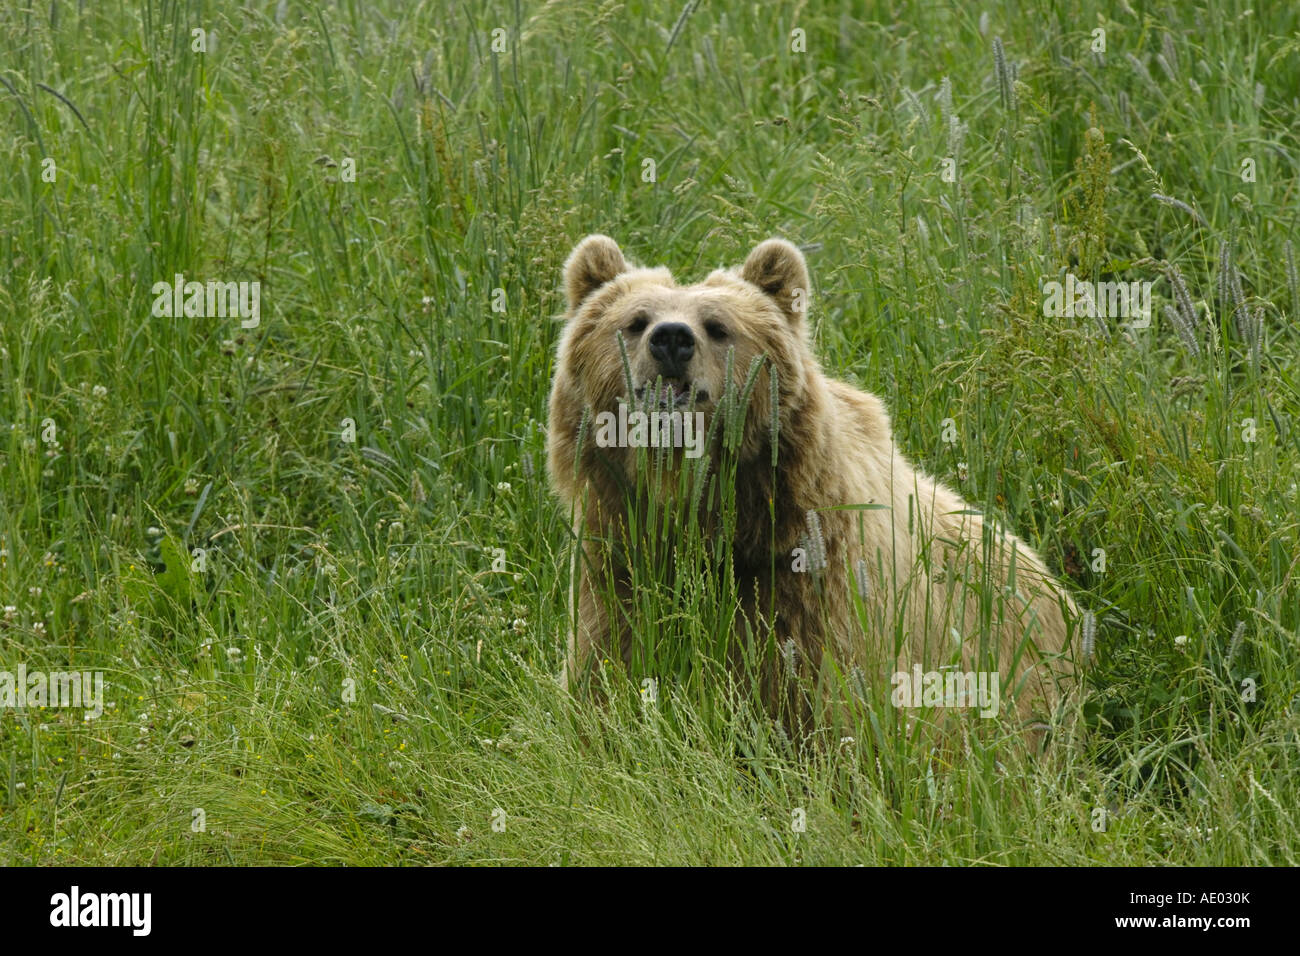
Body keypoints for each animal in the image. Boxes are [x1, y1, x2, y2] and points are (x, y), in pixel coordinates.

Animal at [547, 235, 1077, 744]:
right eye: (635, 321)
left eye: (717, 326)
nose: (671, 340)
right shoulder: (620, 564)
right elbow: (608, 670)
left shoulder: (813, 579)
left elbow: (822, 697)